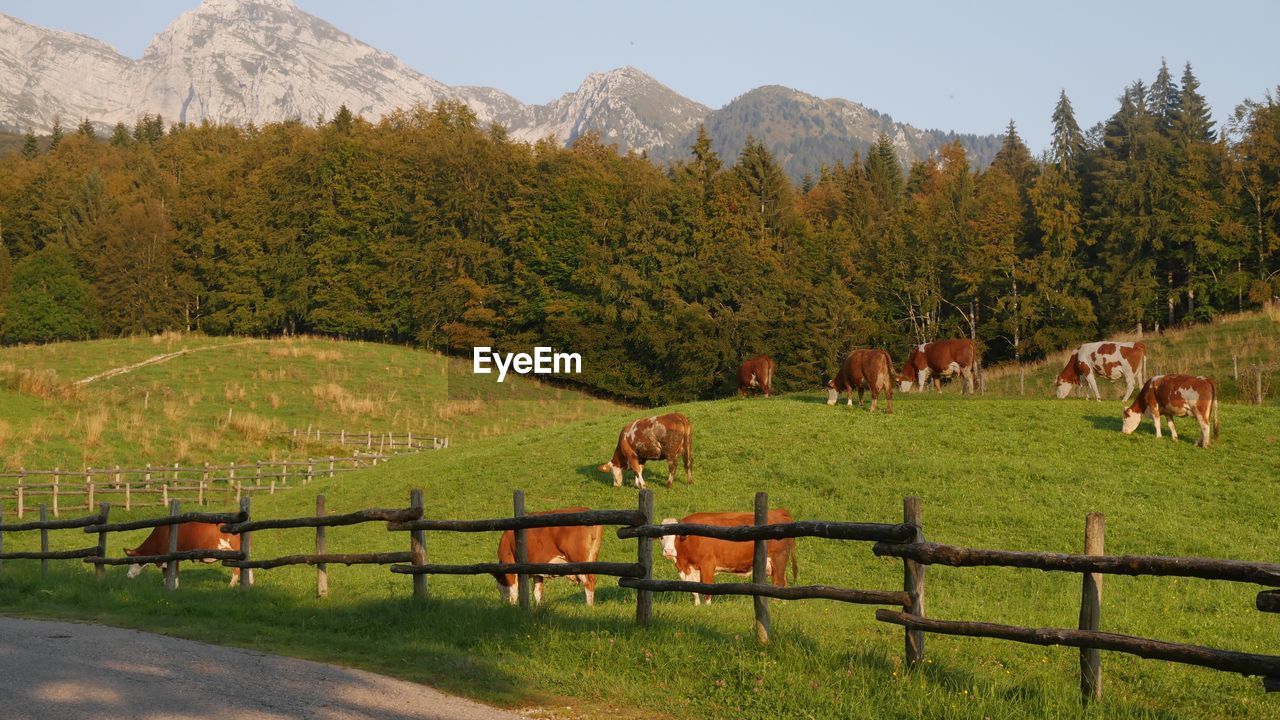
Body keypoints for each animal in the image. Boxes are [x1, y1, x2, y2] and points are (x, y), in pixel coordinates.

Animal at [665, 507, 793, 602]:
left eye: (676, 536)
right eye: (662, 537)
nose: (668, 551)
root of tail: (779, 512)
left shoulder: (707, 564)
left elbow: (707, 587)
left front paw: (707, 607)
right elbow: (694, 590)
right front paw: (697, 606)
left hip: (779, 558)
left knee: (778, 583)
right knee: (783, 583)